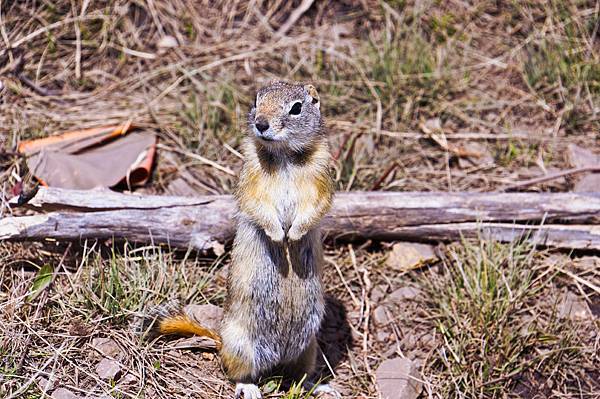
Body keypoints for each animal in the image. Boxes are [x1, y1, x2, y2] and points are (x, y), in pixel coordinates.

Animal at [143, 82, 336, 399]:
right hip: (241, 346)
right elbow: (255, 205)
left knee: (299, 375)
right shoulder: (250, 176)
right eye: (257, 100)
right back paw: (250, 388)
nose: (261, 124)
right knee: (237, 373)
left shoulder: (322, 175)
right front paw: (278, 235)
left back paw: (318, 386)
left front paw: (294, 235)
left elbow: (317, 207)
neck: (284, 155)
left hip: (309, 349)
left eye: (296, 107)